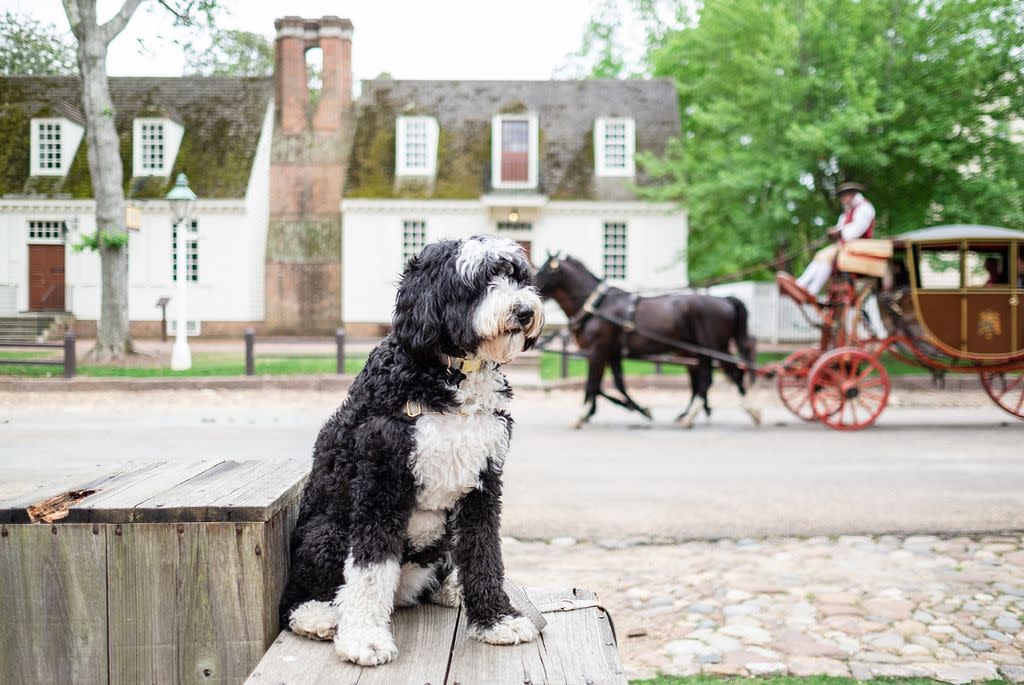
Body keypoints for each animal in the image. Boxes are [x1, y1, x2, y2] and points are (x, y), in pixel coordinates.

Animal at [276, 233, 548, 663]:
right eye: (477, 282)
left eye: (518, 277)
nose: (523, 311)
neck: (451, 377)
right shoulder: (381, 482)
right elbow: (370, 570)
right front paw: (364, 637)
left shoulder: (483, 484)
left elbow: (484, 553)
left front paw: (495, 619)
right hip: (327, 532)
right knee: (295, 598)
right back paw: (319, 617)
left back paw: (451, 589)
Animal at [536, 253, 761, 427]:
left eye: (544, 270)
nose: (531, 286)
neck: (598, 306)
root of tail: (723, 299)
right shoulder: (612, 353)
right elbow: (615, 384)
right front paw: (638, 408)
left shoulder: (598, 351)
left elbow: (592, 384)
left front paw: (582, 415)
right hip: (698, 350)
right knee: (704, 379)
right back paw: (691, 414)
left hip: (714, 347)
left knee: (731, 374)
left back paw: (750, 410)